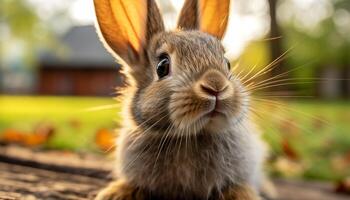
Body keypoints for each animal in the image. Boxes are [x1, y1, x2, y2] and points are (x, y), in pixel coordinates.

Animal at [92, 0, 270, 200]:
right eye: (162, 66)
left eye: (227, 63)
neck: (189, 136)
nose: (216, 85)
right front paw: (114, 193)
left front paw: (246, 194)